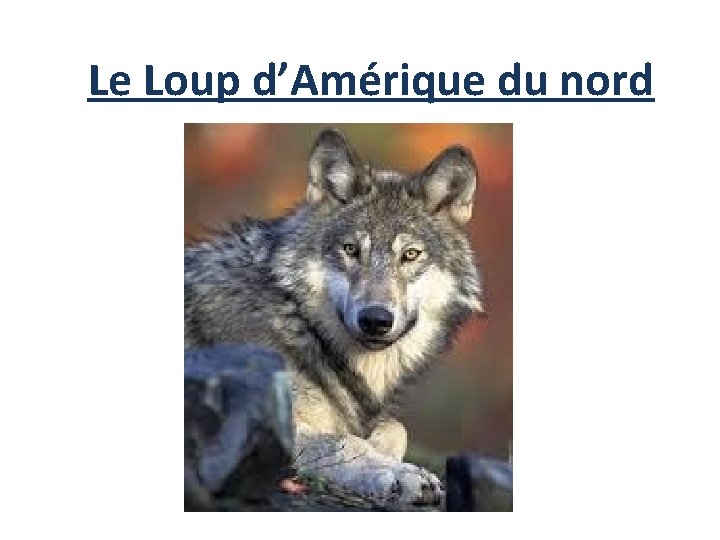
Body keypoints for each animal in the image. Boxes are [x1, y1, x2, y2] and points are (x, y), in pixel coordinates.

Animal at [184, 128, 483, 505]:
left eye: (410, 255)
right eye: (351, 249)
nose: (375, 319)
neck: (298, 322)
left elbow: (395, 427)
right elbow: (343, 441)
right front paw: (397, 473)